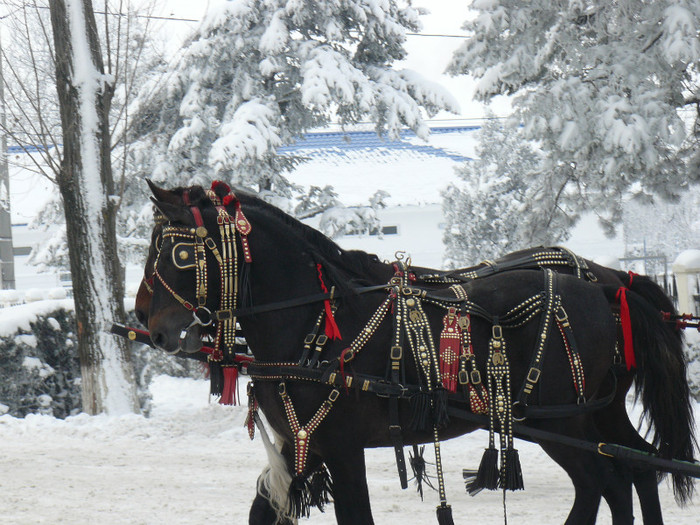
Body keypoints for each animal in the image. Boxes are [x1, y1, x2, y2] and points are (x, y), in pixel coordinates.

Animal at [141, 182, 696, 520]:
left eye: (180, 253)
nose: (151, 326)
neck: (315, 320)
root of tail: (607, 284)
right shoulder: (304, 444)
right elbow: (262, 511)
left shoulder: (341, 448)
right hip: (594, 414)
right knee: (635, 470)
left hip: (563, 420)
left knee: (601, 481)